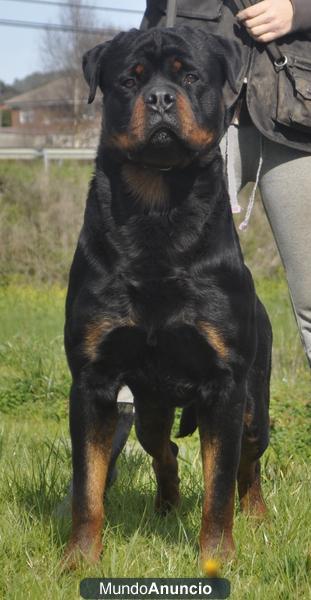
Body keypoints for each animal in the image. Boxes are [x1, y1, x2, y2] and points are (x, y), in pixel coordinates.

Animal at [64, 27, 272, 568]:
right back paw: (166, 508)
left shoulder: (225, 384)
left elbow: (219, 486)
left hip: (253, 403)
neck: (157, 210)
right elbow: (87, 485)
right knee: (165, 451)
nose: (159, 98)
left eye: (191, 76)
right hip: (148, 410)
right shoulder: (93, 381)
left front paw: (218, 557)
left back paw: (257, 514)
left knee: (248, 464)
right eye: (129, 80)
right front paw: (79, 559)